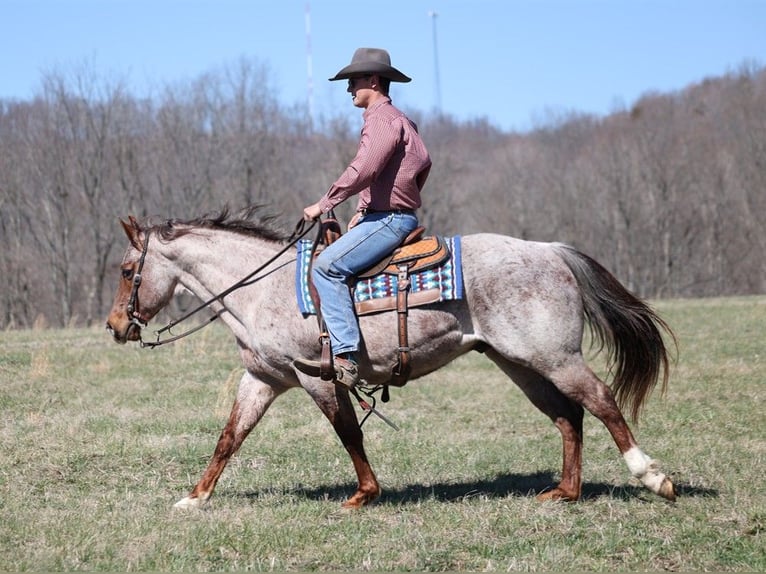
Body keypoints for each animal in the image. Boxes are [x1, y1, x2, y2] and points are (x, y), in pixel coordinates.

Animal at [105, 209, 676, 510]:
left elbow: (347, 433)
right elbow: (230, 436)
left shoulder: (316, 377)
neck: (262, 288)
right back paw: (564, 491)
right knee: (568, 415)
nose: (114, 326)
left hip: (555, 356)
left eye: (129, 269)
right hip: (518, 362)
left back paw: (653, 477)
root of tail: (549, 250)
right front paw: (195, 498)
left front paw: (364, 493)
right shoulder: (263, 379)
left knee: (600, 401)